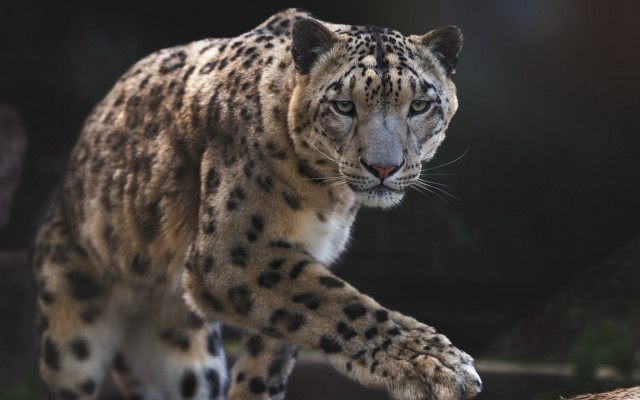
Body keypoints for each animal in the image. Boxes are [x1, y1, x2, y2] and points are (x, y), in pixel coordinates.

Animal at [32, 8, 481, 400]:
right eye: (344, 105)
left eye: (419, 105)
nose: (383, 167)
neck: (331, 200)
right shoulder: (232, 251)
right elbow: (340, 305)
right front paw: (439, 365)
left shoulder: (301, 256)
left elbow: (278, 349)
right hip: (70, 335)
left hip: (189, 363)